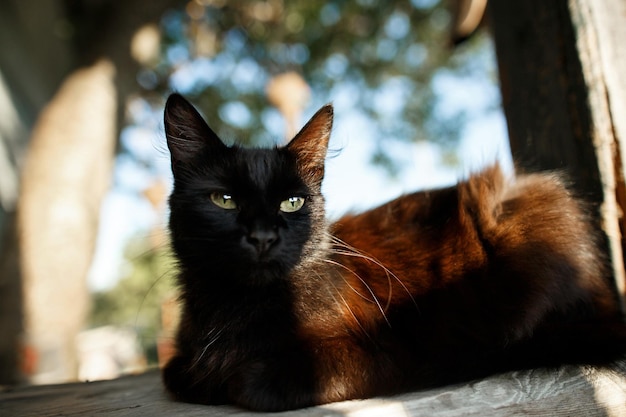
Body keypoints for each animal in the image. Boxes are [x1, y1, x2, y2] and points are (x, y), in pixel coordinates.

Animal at [161, 93, 624, 410]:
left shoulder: (386, 349)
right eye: (224, 200)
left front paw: (232, 378)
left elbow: (253, 383)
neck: (240, 310)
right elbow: (178, 373)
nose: (262, 237)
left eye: (291, 203)